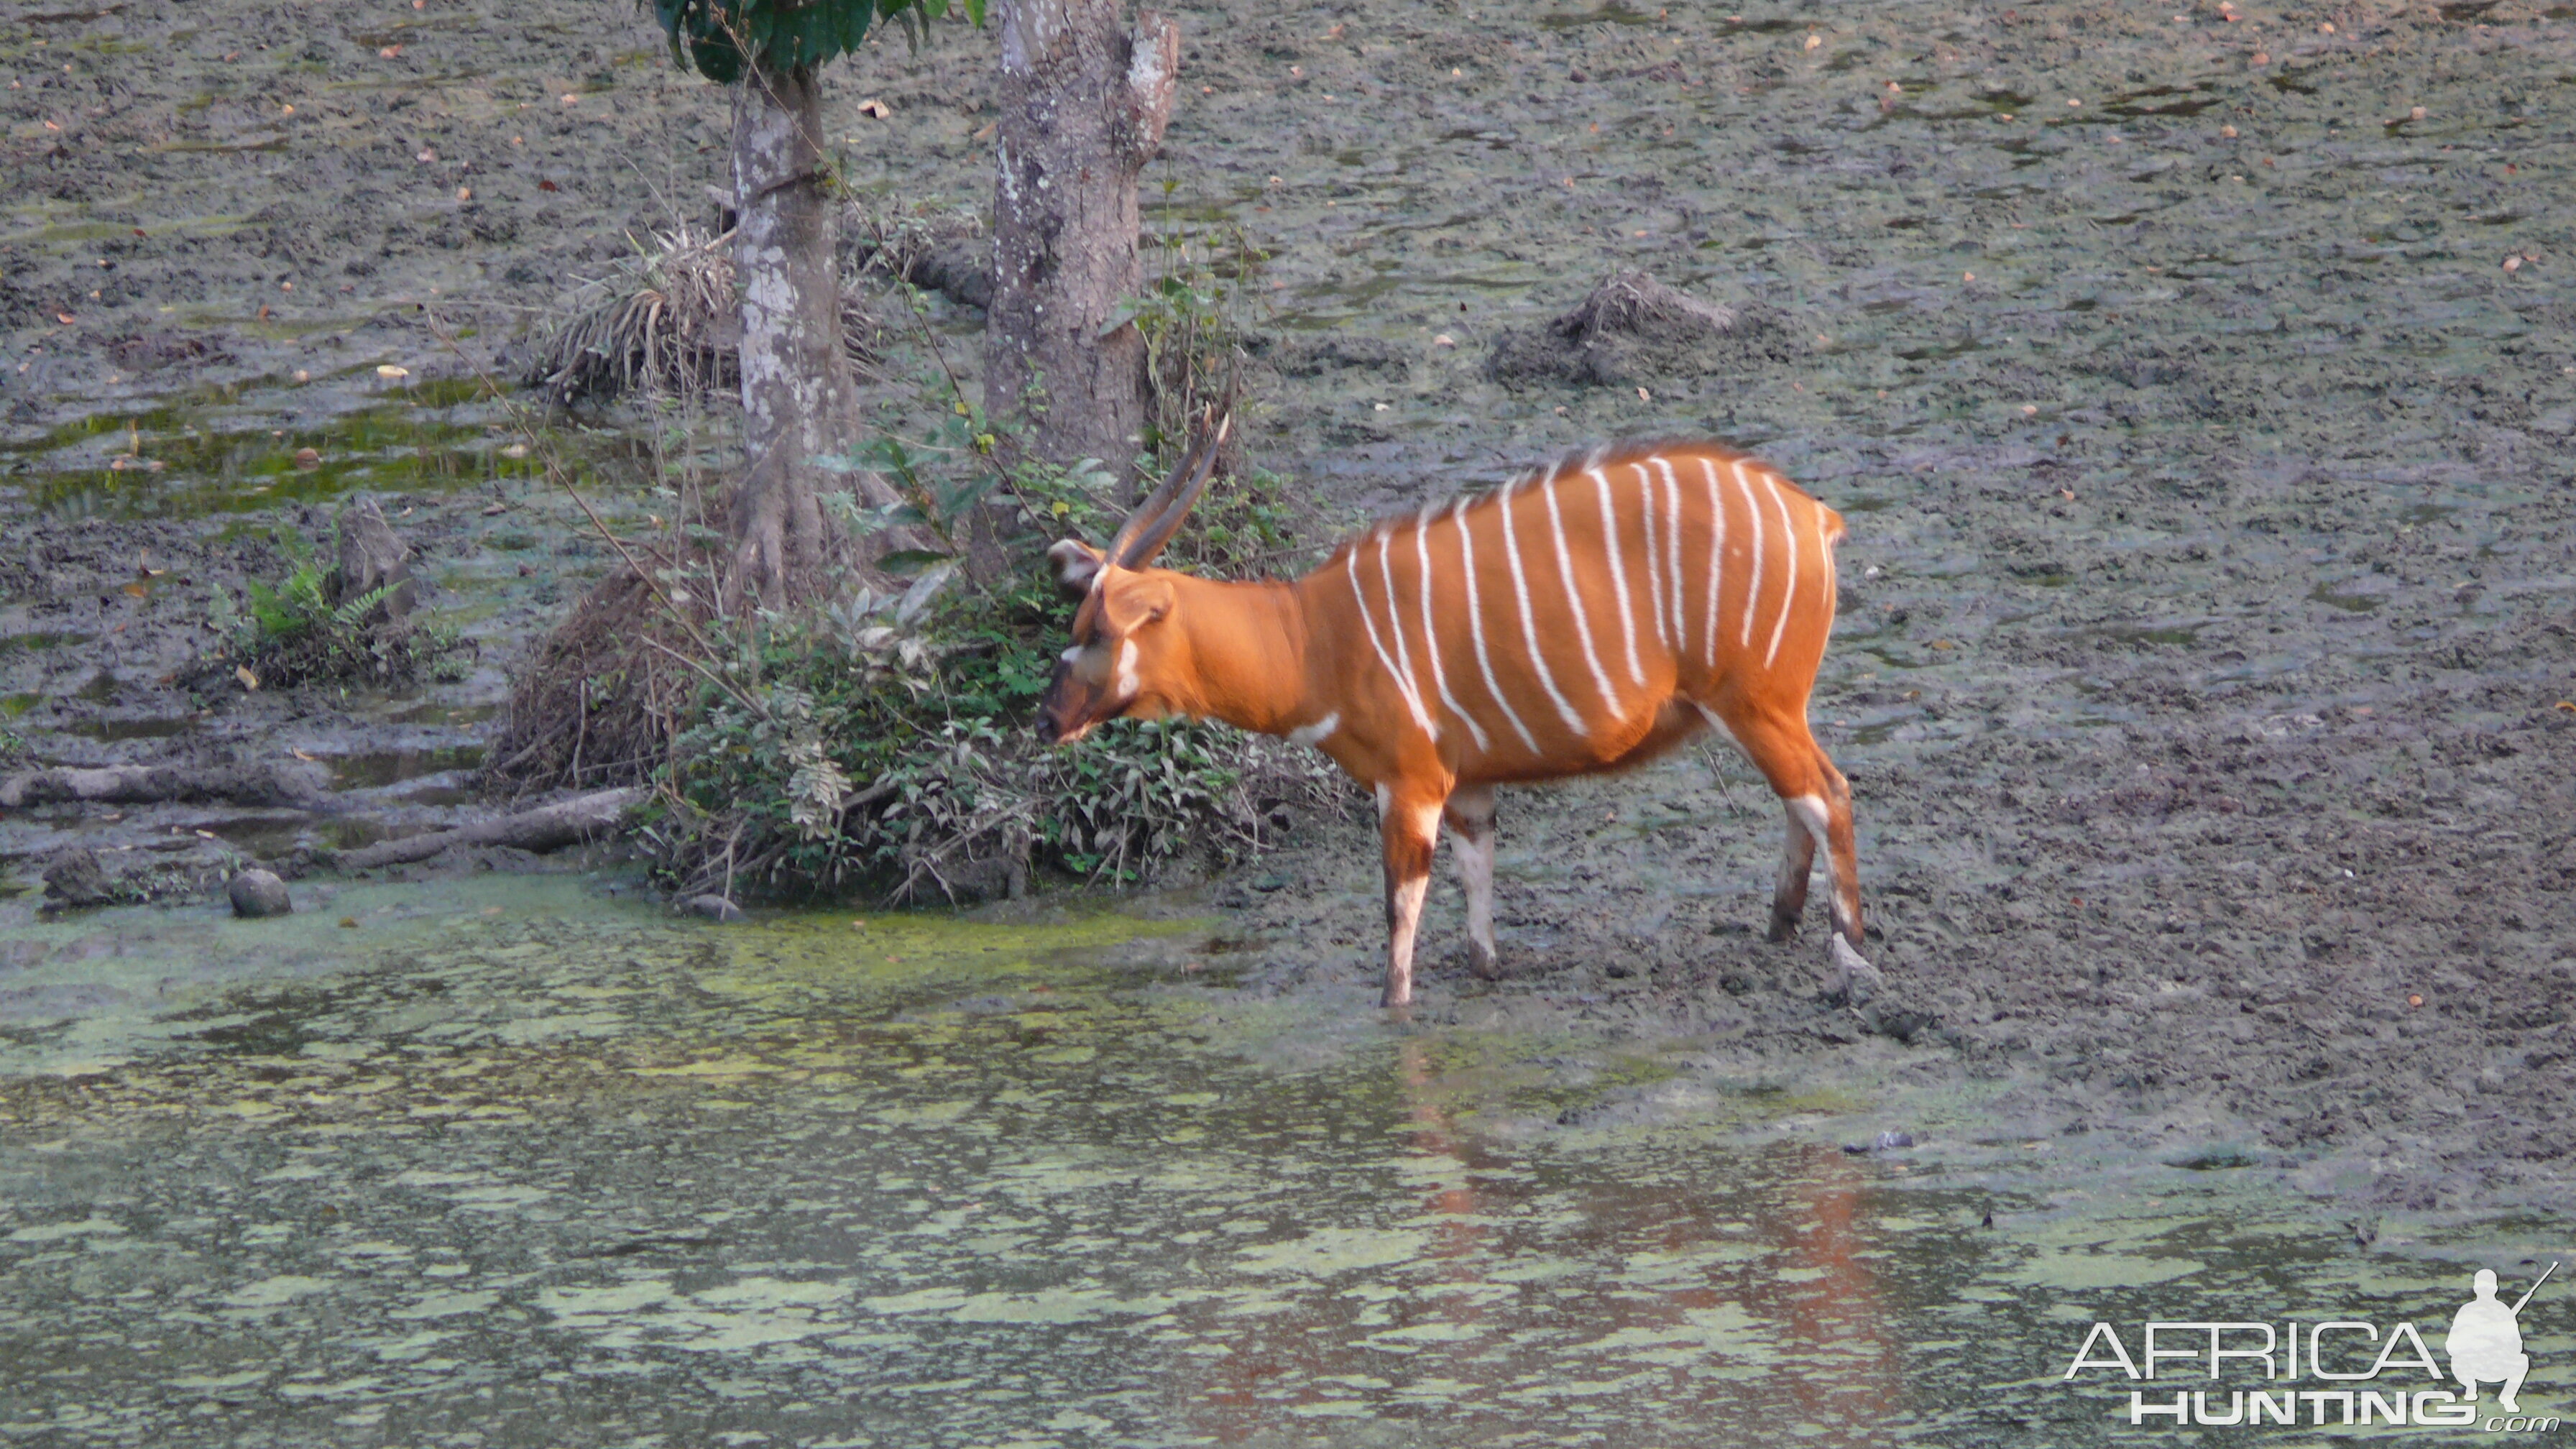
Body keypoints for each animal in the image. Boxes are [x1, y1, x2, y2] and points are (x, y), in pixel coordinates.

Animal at [1035, 423, 1864, 1000]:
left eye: (1099, 632)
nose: (1047, 721)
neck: (1311, 637)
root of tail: (1814, 517)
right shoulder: (1468, 785)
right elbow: (1477, 890)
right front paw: (1487, 972)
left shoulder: (1410, 783)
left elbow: (1399, 915)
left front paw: (1393, 1012)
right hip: (1760, 711)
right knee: (1802, 797)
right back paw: (1780, 928)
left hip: (1754, 704)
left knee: (1827, 793)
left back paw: (1851, 947)